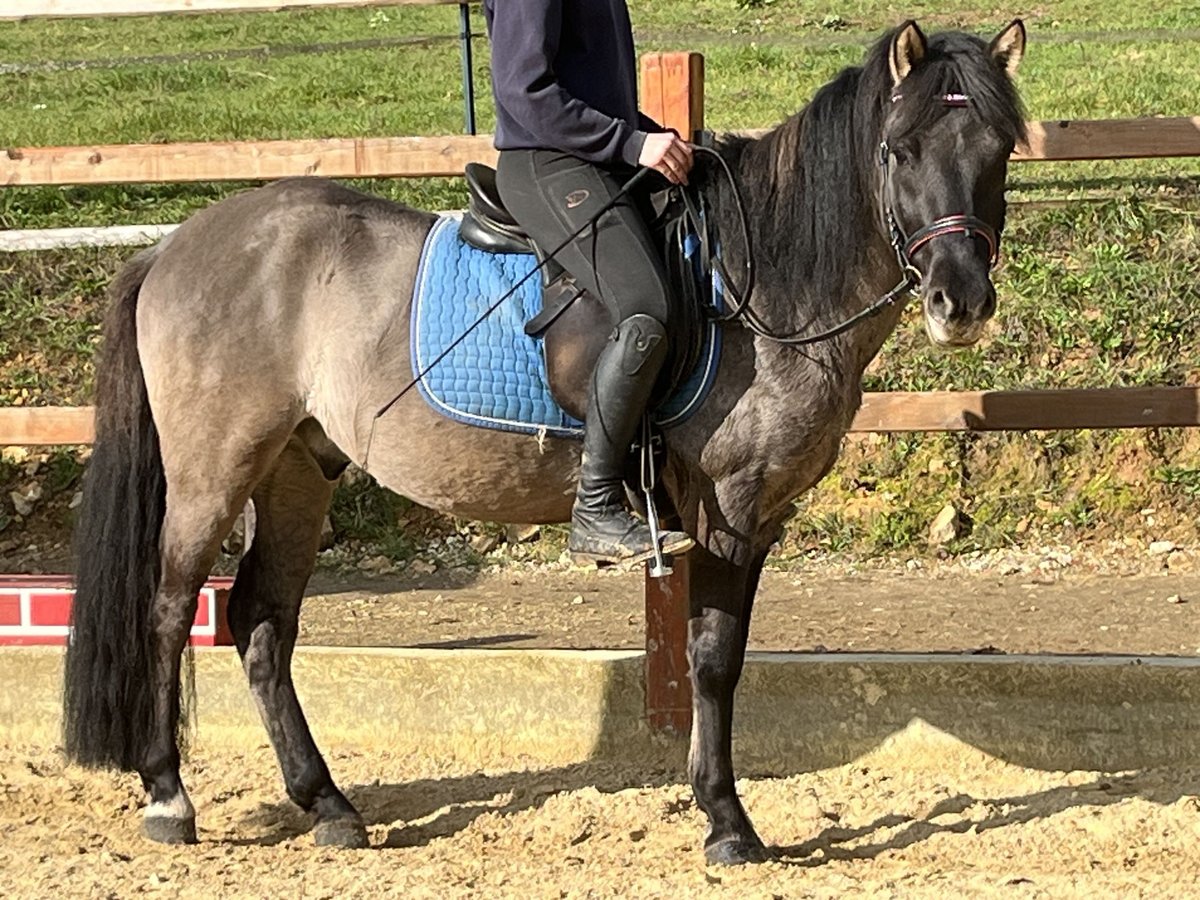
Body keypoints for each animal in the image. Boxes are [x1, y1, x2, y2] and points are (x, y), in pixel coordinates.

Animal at [63, 19, 1022, 868]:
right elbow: (713, 662)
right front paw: (727, 824)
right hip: (214, 468)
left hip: (298, 469)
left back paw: (328, 805)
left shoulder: (759, 521)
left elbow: (721, 659)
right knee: (169, 607)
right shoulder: (729, 511)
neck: (757, 284)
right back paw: (168, 795)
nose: (960, 302)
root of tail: (174, 245)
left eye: (999, 153)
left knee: (261, 623)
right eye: (899, 150)